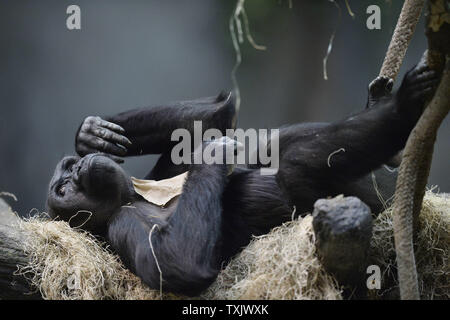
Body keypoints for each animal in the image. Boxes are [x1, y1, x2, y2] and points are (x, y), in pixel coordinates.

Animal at [47, 61, 438, 296]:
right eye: (64, 189)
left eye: (68, 171)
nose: (80, 169)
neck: (134, 195)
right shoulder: (122, 226)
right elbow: (176, 263)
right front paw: (214, 155)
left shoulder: (163, 172)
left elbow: (203, 124)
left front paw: (91, 134)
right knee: (298, 161)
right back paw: (405, 107)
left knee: (282, 146)